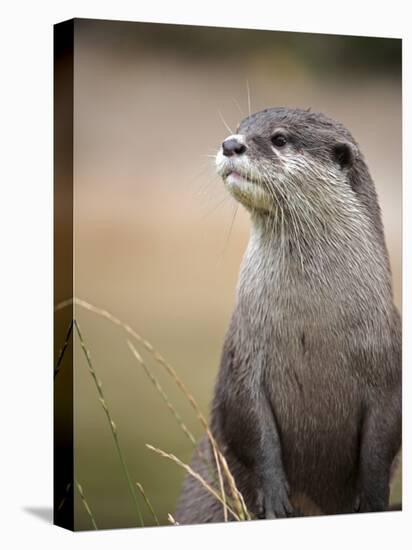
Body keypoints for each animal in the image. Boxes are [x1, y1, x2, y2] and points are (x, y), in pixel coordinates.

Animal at [175, 105, 400, 524]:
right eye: (241, 127)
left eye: (279, 139)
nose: (231, 144)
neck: (312, 324)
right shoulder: (243, 355)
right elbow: (252, 426)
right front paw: (277, 498)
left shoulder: (388, 367)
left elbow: (381, 447)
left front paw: (372, 502)